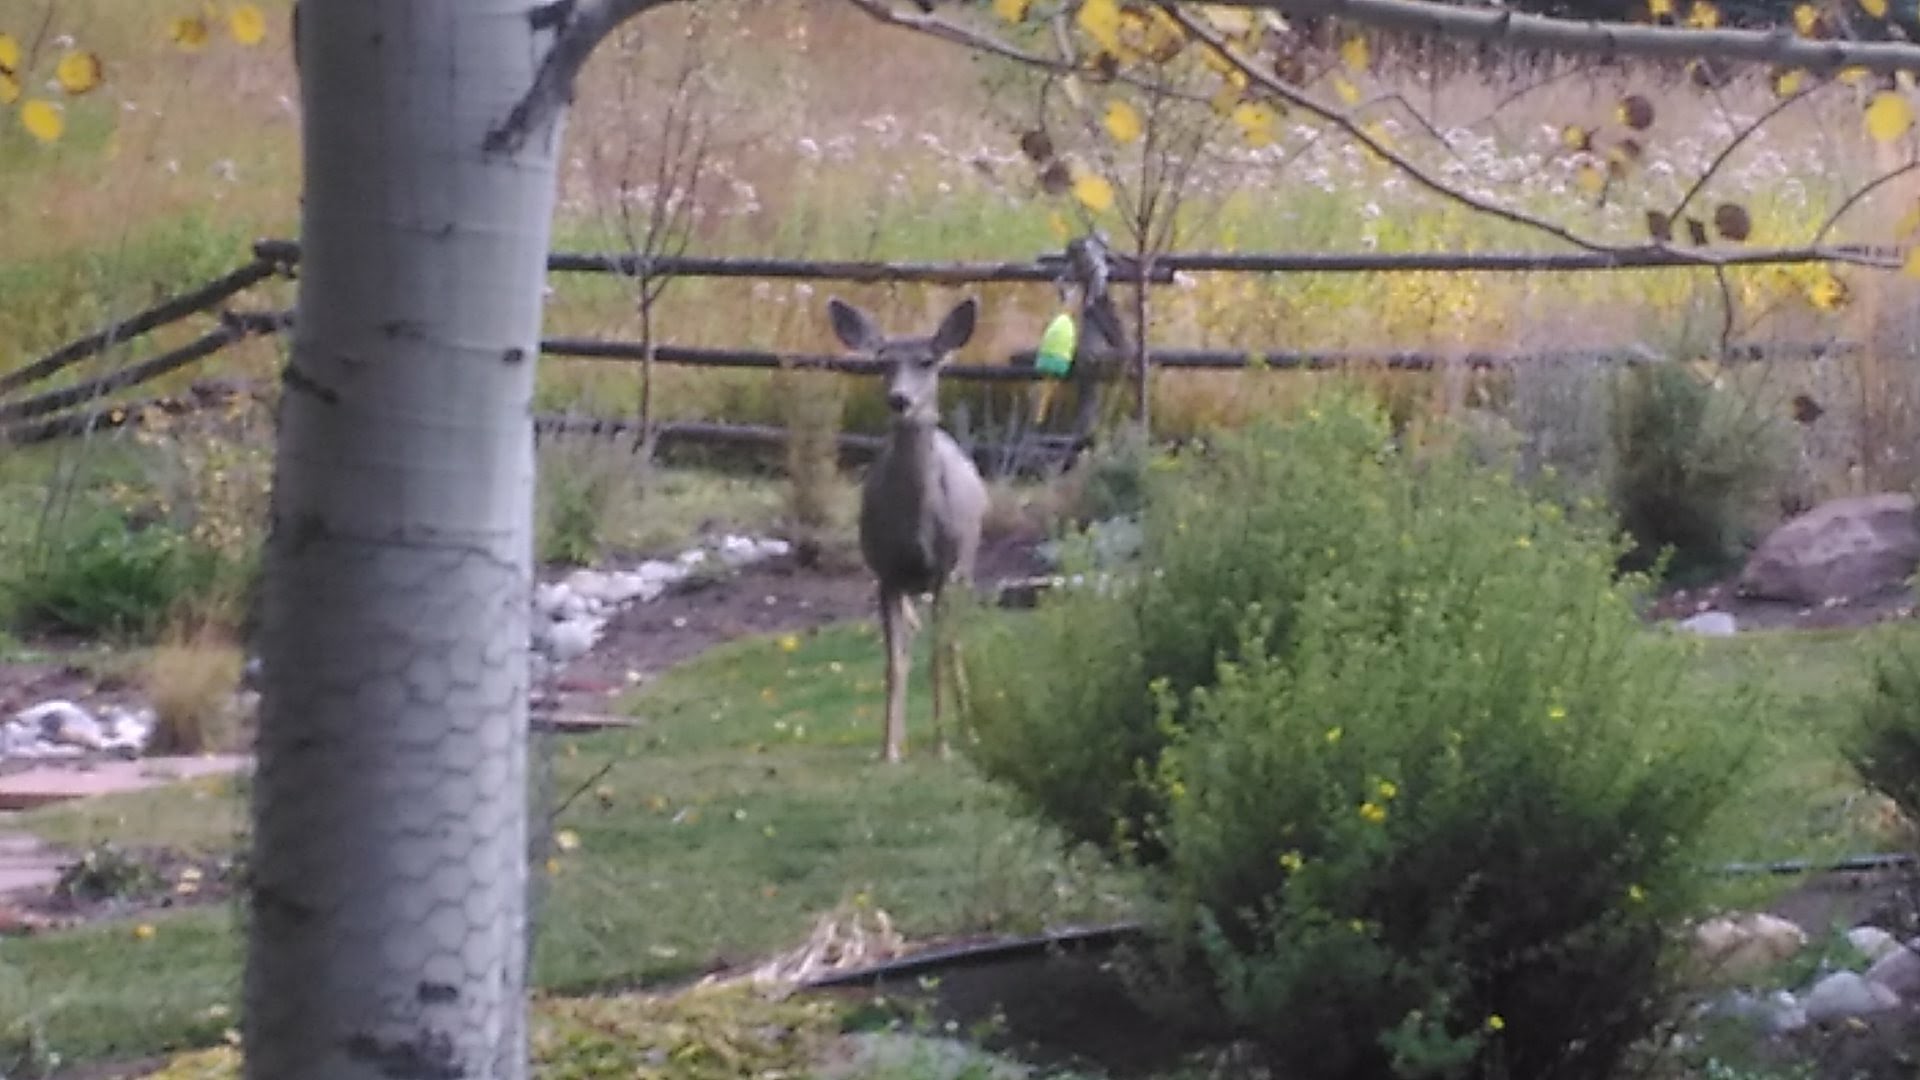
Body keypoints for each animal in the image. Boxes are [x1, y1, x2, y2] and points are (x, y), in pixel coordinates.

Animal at [826, 296, 989, 763]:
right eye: (882, 362)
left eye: (927, 361)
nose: (900, 400)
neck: (917, 531)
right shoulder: (886, 574)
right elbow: (894, 663)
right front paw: (889, 750)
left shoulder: (944, 571)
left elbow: (938, 654)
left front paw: (942, 747)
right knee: (917, 638)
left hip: (967, 566)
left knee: (954, 642)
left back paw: (969, 731)